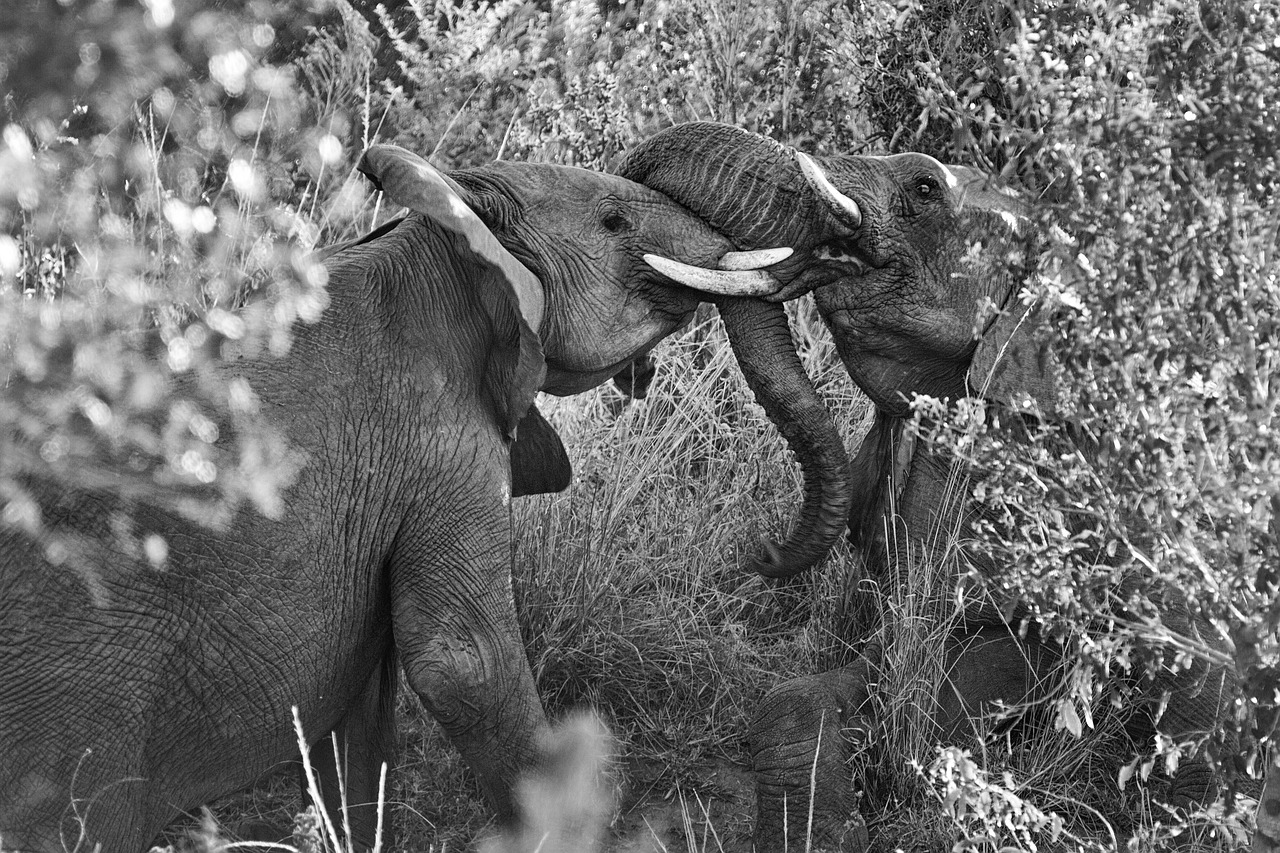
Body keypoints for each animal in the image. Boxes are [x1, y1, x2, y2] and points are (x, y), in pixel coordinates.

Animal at [0, 142, 793, 845]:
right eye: (613, 220)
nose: (768, 554)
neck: (448, 227)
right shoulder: (440, 443)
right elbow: (465, 661)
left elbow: (361, 719)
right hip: (73, 702)